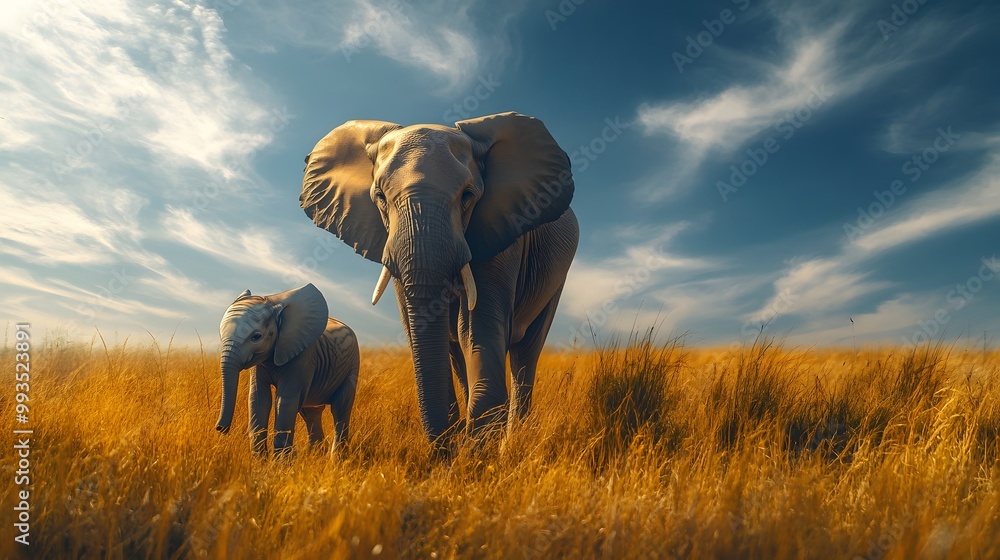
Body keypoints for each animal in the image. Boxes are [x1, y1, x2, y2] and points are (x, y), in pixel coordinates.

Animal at [214, 283, 360, 456]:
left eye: (256, 337)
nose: (220, 428)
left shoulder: (303, 357)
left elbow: (284, 401)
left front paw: (280, 461)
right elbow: (259, 398)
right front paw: (260, 460)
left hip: (352, 365)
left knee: (340, 409)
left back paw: (335, 458)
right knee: (311, 412)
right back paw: (316, 455)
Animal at [300, 111, 579, 450]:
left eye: (468, 196)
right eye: (380, 197)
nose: (442, 452)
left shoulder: (502, 231)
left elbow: (476, 328)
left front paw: (480, 452)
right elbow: (425, 329)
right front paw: (458, 446)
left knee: (526, 352)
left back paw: (514, 439)